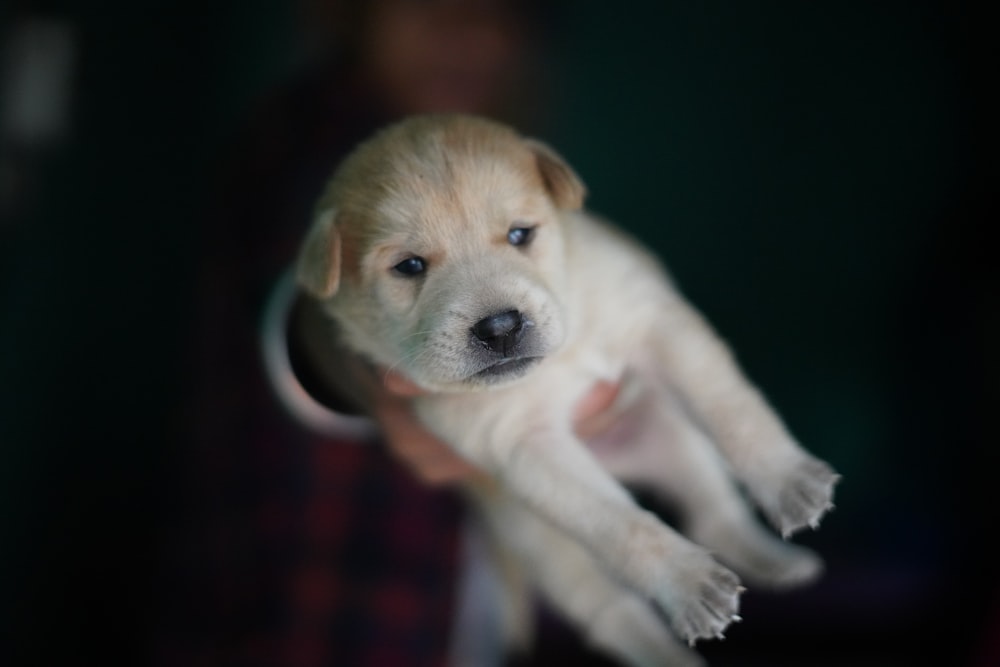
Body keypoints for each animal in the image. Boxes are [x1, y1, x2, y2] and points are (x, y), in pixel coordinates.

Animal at [294, 115, 836, 667]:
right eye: (409, 266)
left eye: (520, 234)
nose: (501, 327)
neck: (558, 356)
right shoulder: (525, 446)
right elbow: (622, 526)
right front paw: (686, 582)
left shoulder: (657, 323)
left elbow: (732, 408)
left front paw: (786, 478)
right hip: (543, 542)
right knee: (613, 610)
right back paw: (669, 653)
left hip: (676, 436)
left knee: (715, 511)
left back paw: (775, 562)